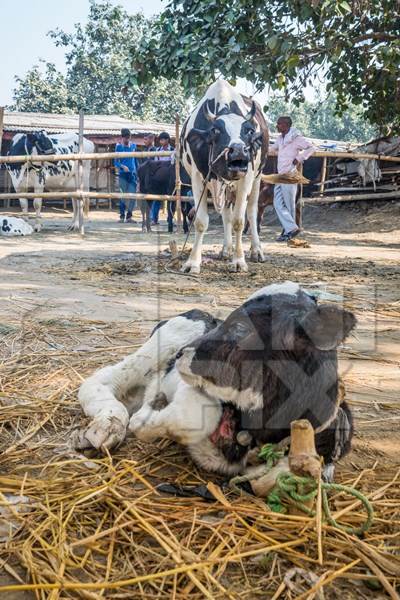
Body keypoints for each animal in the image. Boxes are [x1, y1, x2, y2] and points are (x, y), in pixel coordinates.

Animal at [181, 78, 268, 274]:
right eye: (216, 130)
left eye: (249, 131)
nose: (239, 150)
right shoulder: (197, 178)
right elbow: (200, 221)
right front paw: (193, 262)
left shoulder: (246, 178)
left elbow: (238, 221)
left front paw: (239, 261)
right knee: (226, 214)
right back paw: (226, 249)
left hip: (257, 179)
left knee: (252, 212)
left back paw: (256, 251)